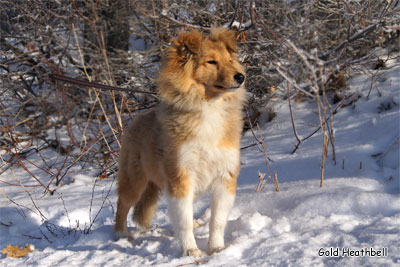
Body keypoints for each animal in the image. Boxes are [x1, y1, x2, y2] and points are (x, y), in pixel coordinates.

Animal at [114, 28, 247, 258]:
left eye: (230, 60)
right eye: (211, 62)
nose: (241, 77)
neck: (208, 107)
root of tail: (135, 121)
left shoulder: (225, 176)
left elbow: (217, 220)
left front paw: (217, 248)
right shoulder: (180, 175)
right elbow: (182, 221)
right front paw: (191, 251)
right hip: (135, 179)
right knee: (122, 204)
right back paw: (121, 234)